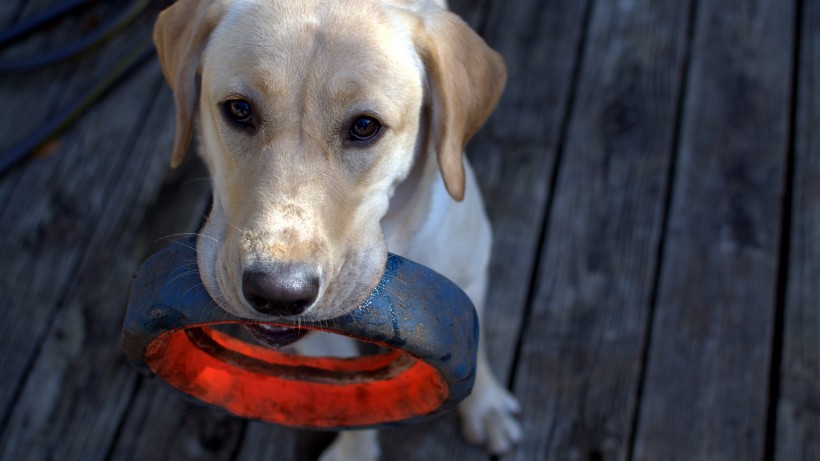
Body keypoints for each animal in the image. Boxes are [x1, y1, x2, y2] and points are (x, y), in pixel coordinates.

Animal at [154, 0, 524, 456]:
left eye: (365, 126)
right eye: (239, 110)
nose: (278, 293)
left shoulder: (472, 276)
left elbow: (480, 346)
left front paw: (486, 405)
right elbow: (350, 394)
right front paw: (354, 452)